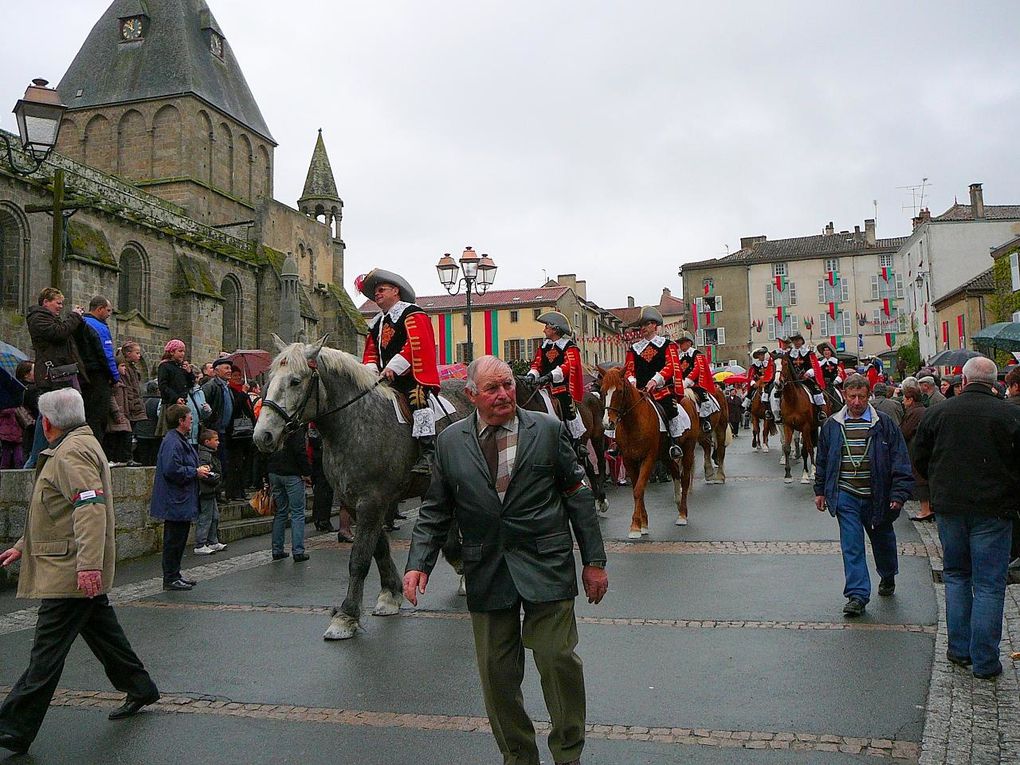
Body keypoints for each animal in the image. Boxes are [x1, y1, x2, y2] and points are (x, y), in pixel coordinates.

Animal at [255, 338, 469, 644]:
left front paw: (346, 616)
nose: (263, 436)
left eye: (295, 381)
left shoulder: (372, 502)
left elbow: (359, 558)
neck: (355, 422)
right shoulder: (356, 502)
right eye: (269, 379)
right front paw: (391, 593)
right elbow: (378, 548)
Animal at [595, 367, 701, 534]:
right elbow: (637, 489)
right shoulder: (629, 460)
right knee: (676, 473)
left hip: (688, 450)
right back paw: (677, 501)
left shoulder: (648, 459)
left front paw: (635, 526)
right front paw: (643, 523)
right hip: (665, 455)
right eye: (602, 390)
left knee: (684, 479)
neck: (633, 424)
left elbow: (639, 489)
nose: (607, 423)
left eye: (619, 391)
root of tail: (687, 399)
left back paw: (682, 515)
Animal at [779, 354, 820, 485]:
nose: (778, 383)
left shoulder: (805, 427)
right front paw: (788, 475)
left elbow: (808, 449)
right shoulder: (788, 426)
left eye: (785, 363)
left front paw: (810, 473)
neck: (793, 400)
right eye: (773, 365)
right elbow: (787, 448)